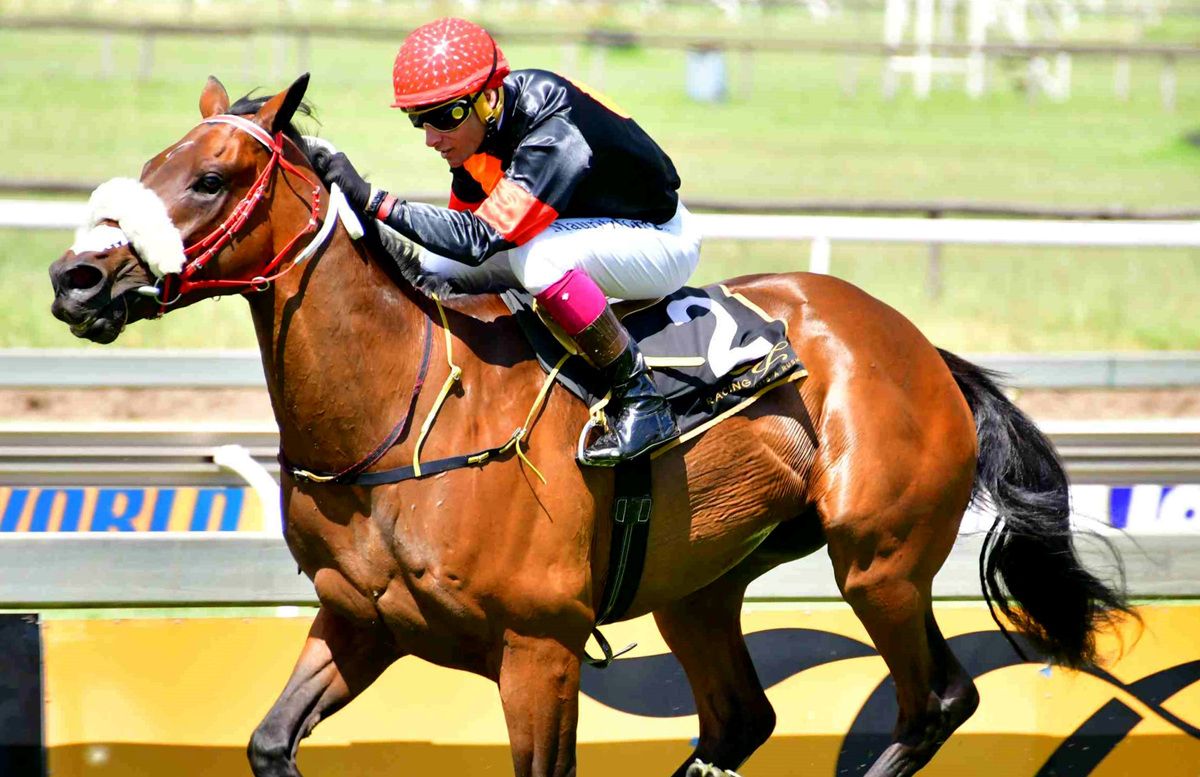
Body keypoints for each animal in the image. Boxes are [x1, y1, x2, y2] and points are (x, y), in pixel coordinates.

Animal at [48, 73, 1133, 777]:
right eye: (154, 162)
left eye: (212, 178)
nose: (74, 278)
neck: (397, 418)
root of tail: (919, 347)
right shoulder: (360, 619)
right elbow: (270, 741)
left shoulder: (539, 648)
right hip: (699, 585)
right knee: (740, 720)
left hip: (881, 560)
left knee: (936, 700)